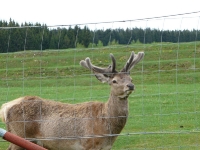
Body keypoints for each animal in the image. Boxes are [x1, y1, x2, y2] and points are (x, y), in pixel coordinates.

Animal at [0, 51, 144, 149]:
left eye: (131, 79)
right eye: (114, 81)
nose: (130, 86)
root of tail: (5, 107)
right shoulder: (89, 143)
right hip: (20, 135)